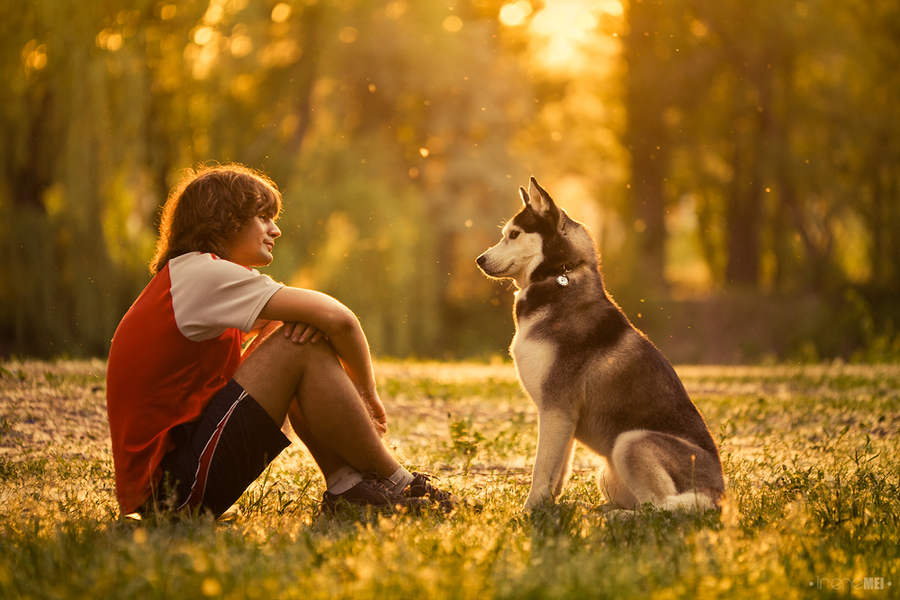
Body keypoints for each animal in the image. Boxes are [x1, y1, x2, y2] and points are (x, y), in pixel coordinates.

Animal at [478, 178, 724, 510]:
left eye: (514, 234)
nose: (479, 259)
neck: (559, 275)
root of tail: (719, 493)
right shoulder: (563, 418)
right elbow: (557, 471)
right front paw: (549, 507)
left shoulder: (556, 408)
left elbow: (541, 468)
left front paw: (529, 510)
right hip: (607, 474)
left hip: (630, 441)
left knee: (658, 507)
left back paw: (617, 516)